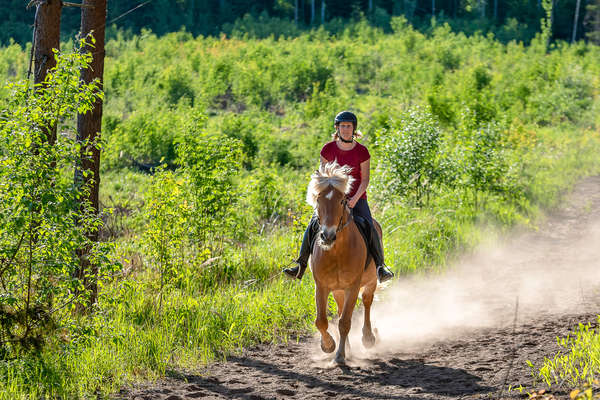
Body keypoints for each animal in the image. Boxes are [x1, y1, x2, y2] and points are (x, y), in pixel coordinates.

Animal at [304, 161, 380, 364]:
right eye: (319, 200)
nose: (327, 236)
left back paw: (368, 338)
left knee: (367, 302)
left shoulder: (353, 287)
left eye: (342, 201)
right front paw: (328, 345)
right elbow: (321, 321)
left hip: (370, 282)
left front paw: (339, 356)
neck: (337, 252)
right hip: (338, 290)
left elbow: (345, 322)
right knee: (339, 310)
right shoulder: (321, 286)